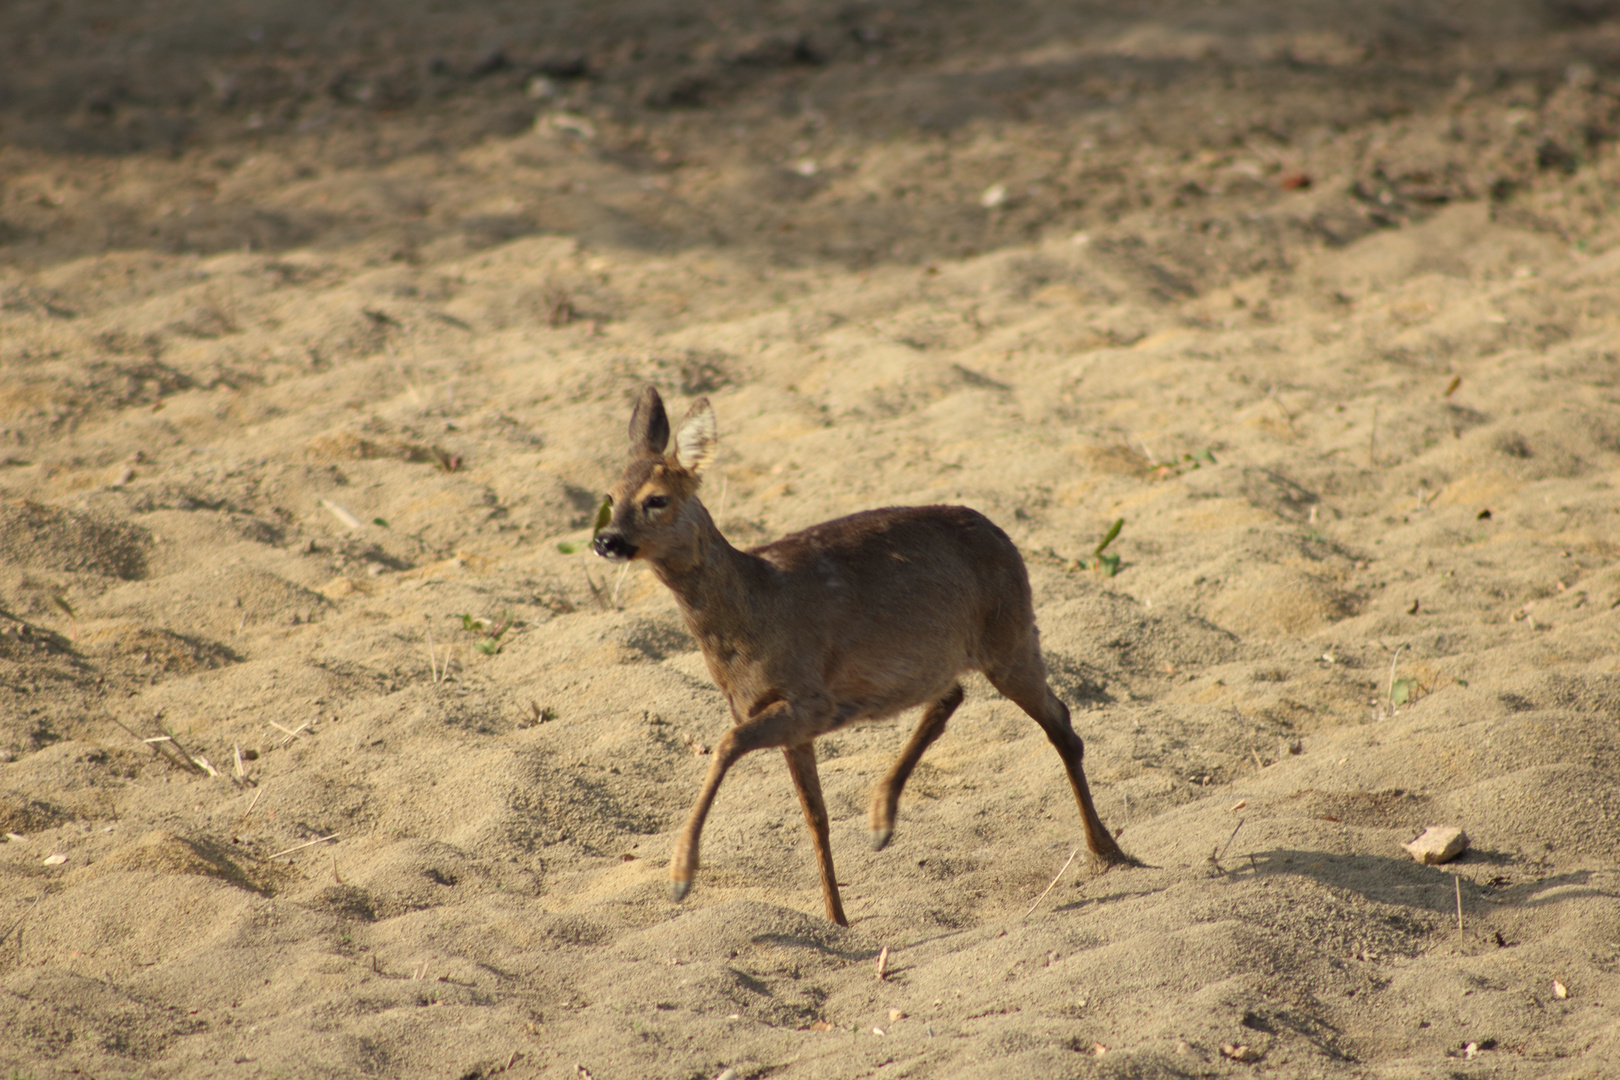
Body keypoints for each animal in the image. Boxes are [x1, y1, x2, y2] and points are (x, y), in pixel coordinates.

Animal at [589, 383, 1134, 926]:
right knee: (952, 697)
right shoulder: (784, 717)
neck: (752, 608)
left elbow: (726, 745)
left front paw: (681, 877)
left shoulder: (810, 698)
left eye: (657, 500)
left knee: (1060, 723)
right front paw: (836, 918)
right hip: (936, 657)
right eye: (609, 497)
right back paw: (881, 819)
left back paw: (1106, 850)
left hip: (1010, 635)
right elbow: (815, 815)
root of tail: (1003, 534)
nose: (606, 540)